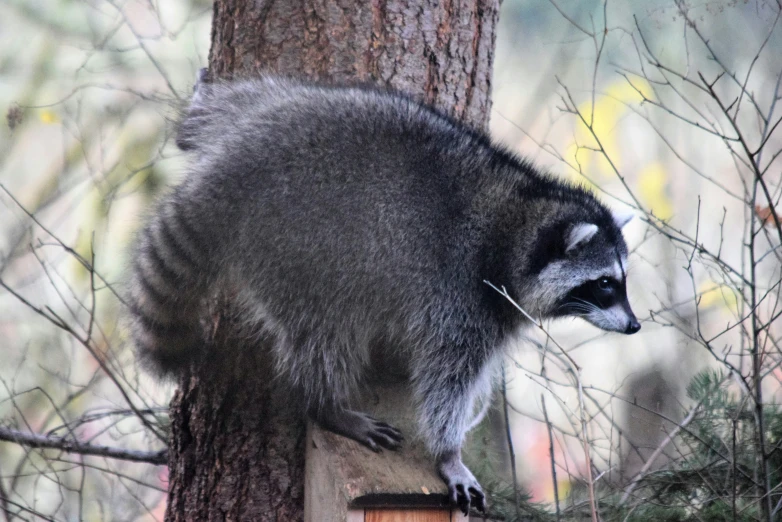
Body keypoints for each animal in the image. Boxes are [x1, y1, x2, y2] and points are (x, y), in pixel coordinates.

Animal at [129, 71, 644, 512]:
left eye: (621, 281)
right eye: (604, 284)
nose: (635, 325)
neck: (520, 217)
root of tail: (231, 169)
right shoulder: (461, 295)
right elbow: (446, 382)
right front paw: (448, 453)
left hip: (287, 105)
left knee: (233, 106)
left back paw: (200, 113)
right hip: (297, 247)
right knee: (325, 331)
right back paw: (325, 404)